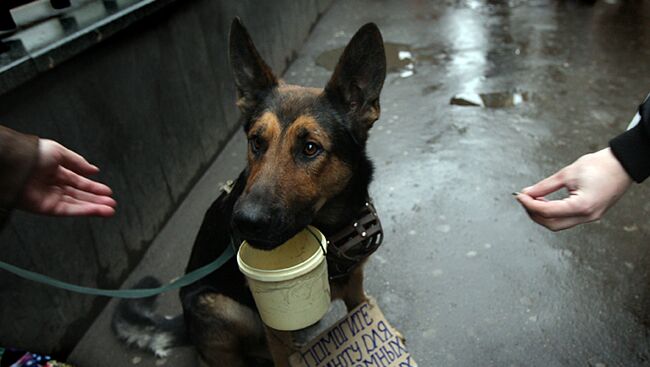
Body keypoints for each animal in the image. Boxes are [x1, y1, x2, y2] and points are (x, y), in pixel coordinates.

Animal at [111, 18, 384, 366]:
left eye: (310, 148)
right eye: (256, 141)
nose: (244, 222)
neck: (330, 228)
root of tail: (185, 324)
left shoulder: (356, 291)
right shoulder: (274, 327)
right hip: (221, 307)